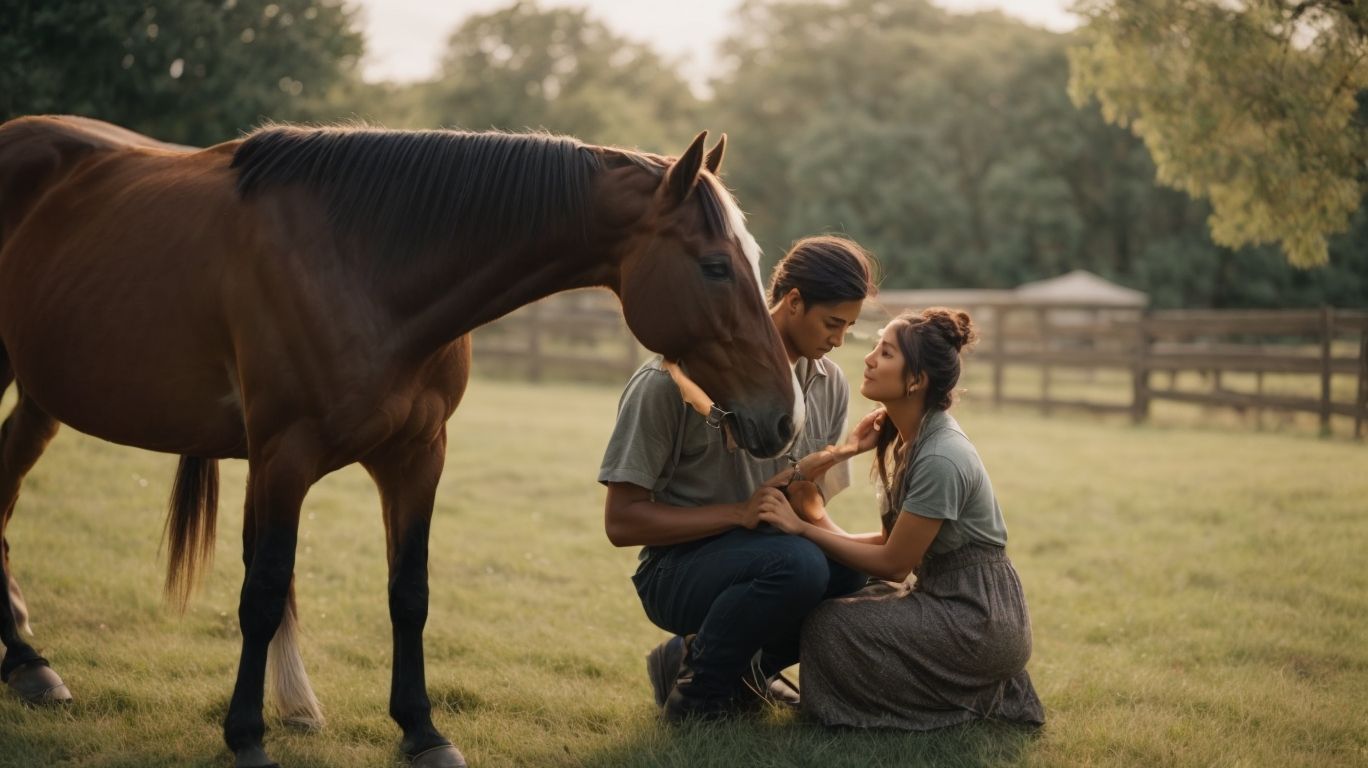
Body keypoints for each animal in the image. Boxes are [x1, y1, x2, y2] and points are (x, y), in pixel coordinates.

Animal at [0, 115, 801, 768]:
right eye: (715, 266)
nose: (782, 416)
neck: (363, 263)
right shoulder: (283, 456)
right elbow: (264, 589)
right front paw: (248, 735)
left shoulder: (417, 457)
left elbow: (408, 592)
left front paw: (421, 730)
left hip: (42, 396)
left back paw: (27, 660)